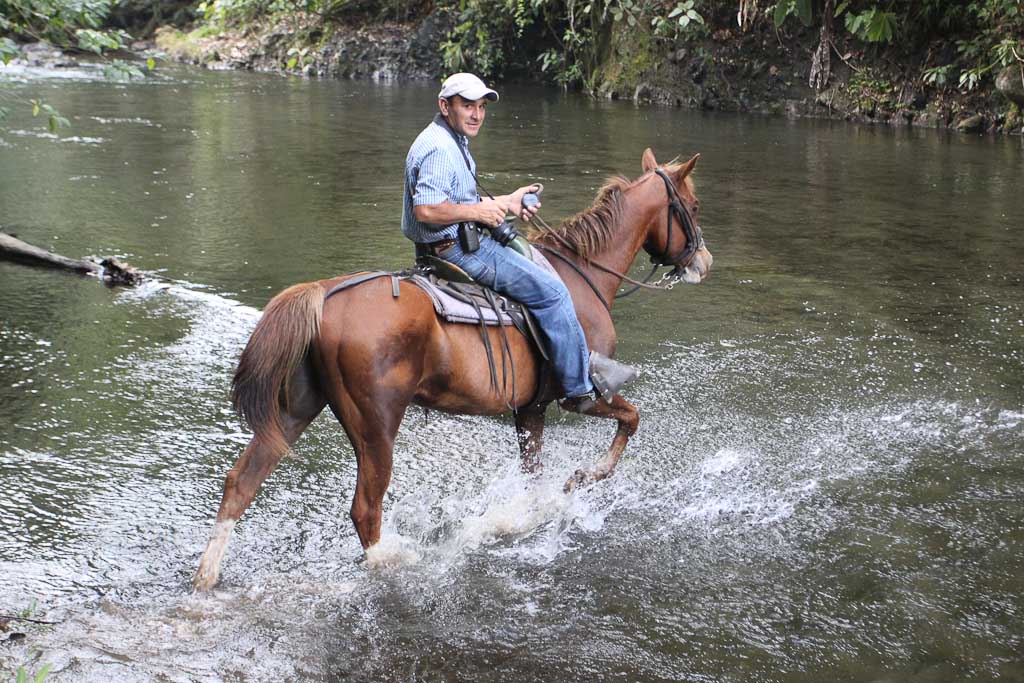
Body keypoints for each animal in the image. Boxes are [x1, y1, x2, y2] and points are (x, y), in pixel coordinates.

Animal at [195, 150, 716, 593]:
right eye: (692, 205)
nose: (705, 261)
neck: (583, 275)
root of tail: (324, 294)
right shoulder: (582, 394)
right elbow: (630, 420)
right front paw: (580, 478)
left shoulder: (530, 409)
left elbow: (533, 476)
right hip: (375, 426)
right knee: (366, 509)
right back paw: (395, 563)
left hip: (296, 408)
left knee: (242, 481)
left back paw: (206, 576)